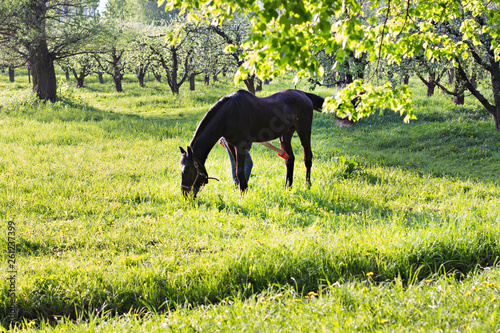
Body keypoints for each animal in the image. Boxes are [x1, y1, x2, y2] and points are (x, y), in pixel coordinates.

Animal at [180, 88, 324, 197]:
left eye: (187, 171)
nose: (185, 194)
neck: (228, 115)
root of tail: (303, 94)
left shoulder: (240, 145)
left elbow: (239, 170)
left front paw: (243, 192)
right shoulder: (231, 145)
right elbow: (236, 168)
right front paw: (241, 188)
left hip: (304, 130)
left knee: (307, 158)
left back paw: (307, 185)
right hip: (285, 135)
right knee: (290, 159)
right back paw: (287, 186)